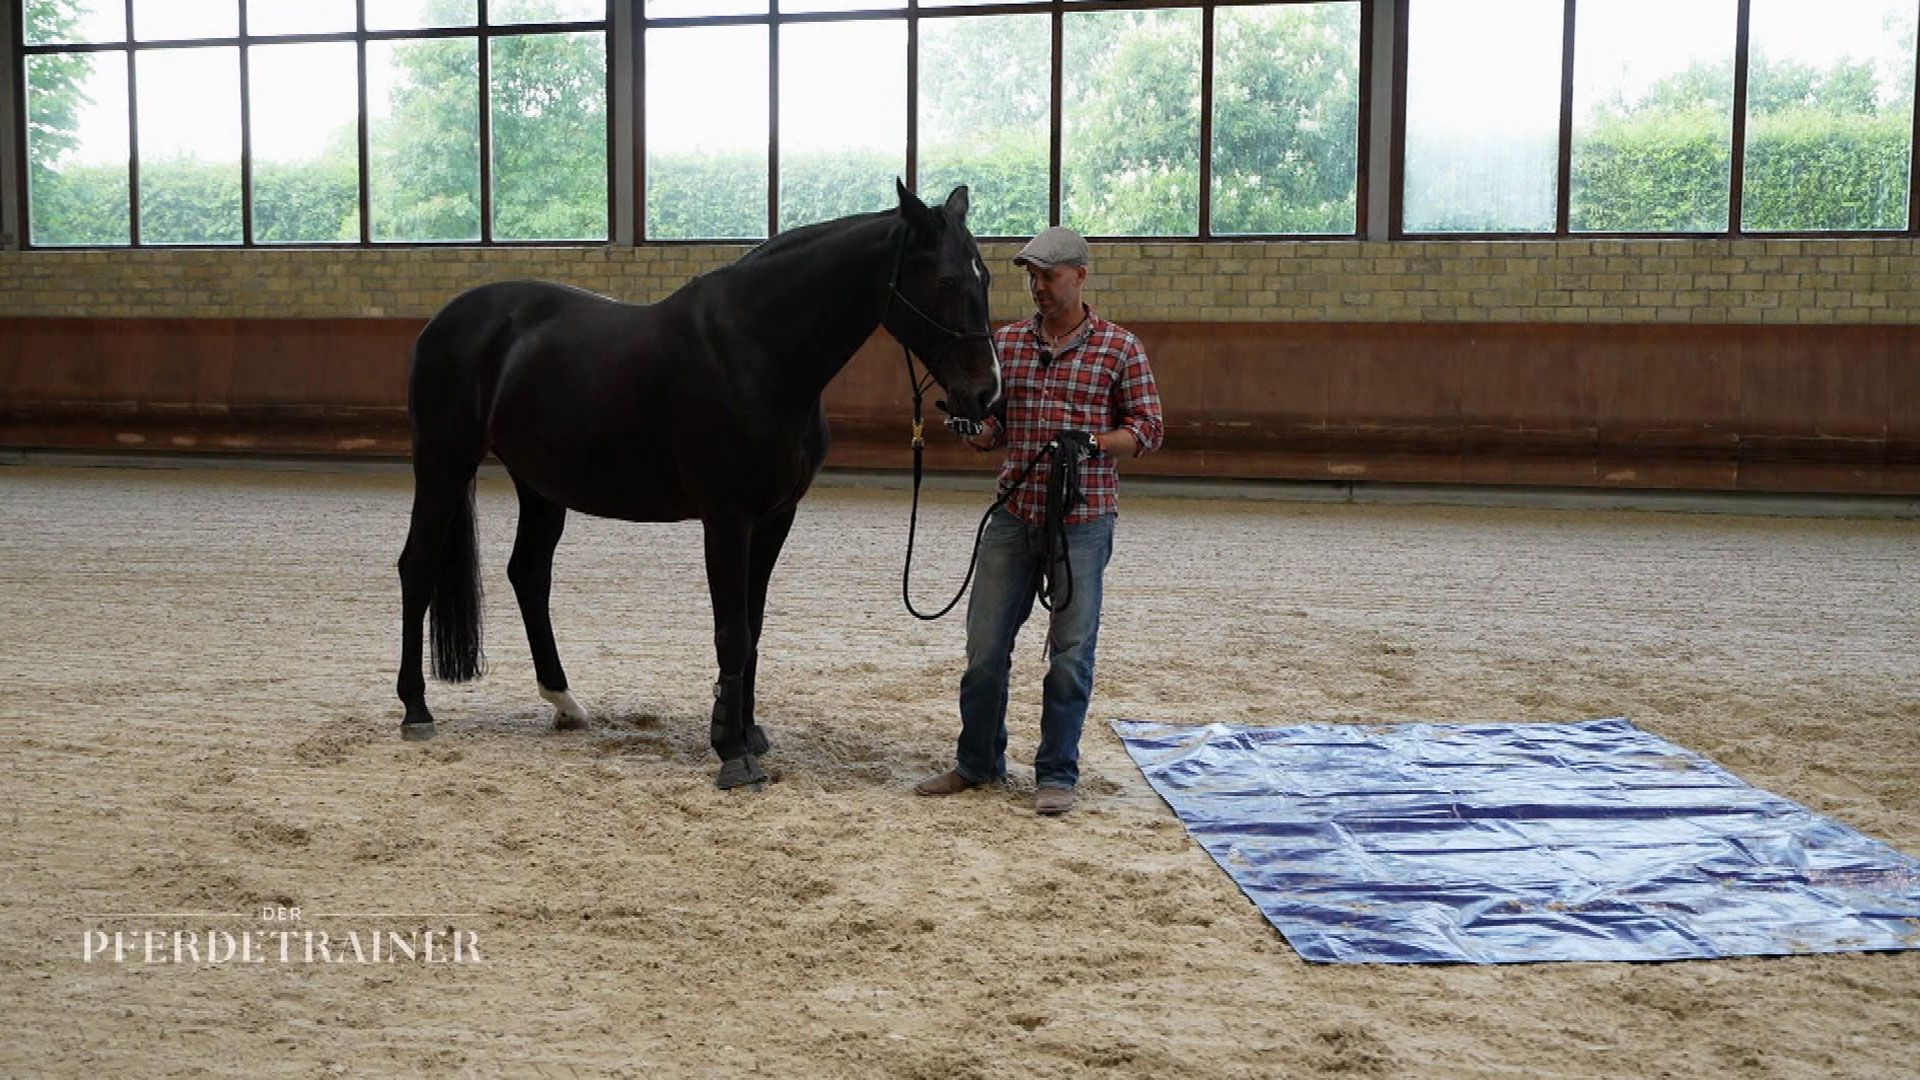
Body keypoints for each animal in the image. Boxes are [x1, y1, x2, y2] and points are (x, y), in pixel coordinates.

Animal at [393, 180, 1006, 787]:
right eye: (947, 280)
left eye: (986, 277)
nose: (985, 394)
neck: (760, 351)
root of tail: (445, 321)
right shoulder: (727, 518)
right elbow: (732, 630)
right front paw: (732, 752)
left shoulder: (775, 518)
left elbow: (753, 626)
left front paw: (747, 732)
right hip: (444, 464)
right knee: (418, 565)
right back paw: (416, 710)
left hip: (540, 486)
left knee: (528, 574)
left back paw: (564, 702)